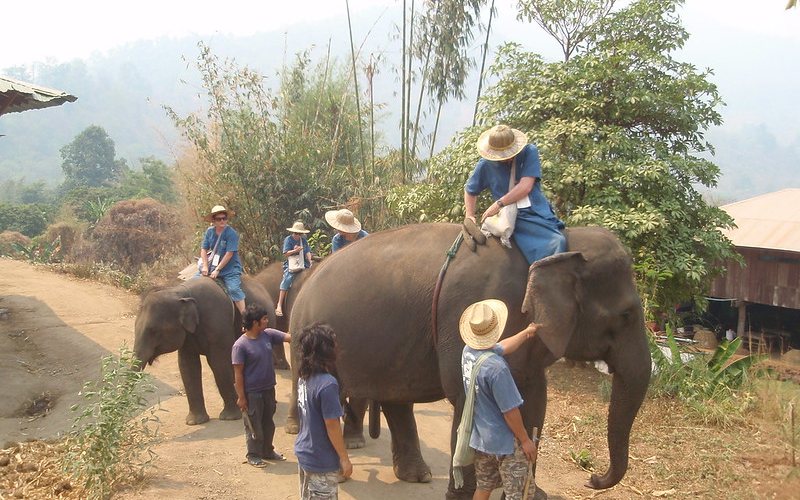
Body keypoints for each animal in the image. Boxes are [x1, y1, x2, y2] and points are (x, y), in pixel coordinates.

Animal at [131, 276, 282, 424]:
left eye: (153, 331)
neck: (180, 293)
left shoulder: (218, 325)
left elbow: (219, 364)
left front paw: (229, 418)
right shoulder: (188, 335)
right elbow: (187, 366)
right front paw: (194, 422)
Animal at [288, 225, 648, 498]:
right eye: (626, 315)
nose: (593, 479)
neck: (556, 246)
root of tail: (308, 279)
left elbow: (534, 401)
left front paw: (532, 492)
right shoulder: (475, 307)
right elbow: (466, 397)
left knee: (395, 398)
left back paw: (416, 476)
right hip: (306, 335)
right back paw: (335, 468)